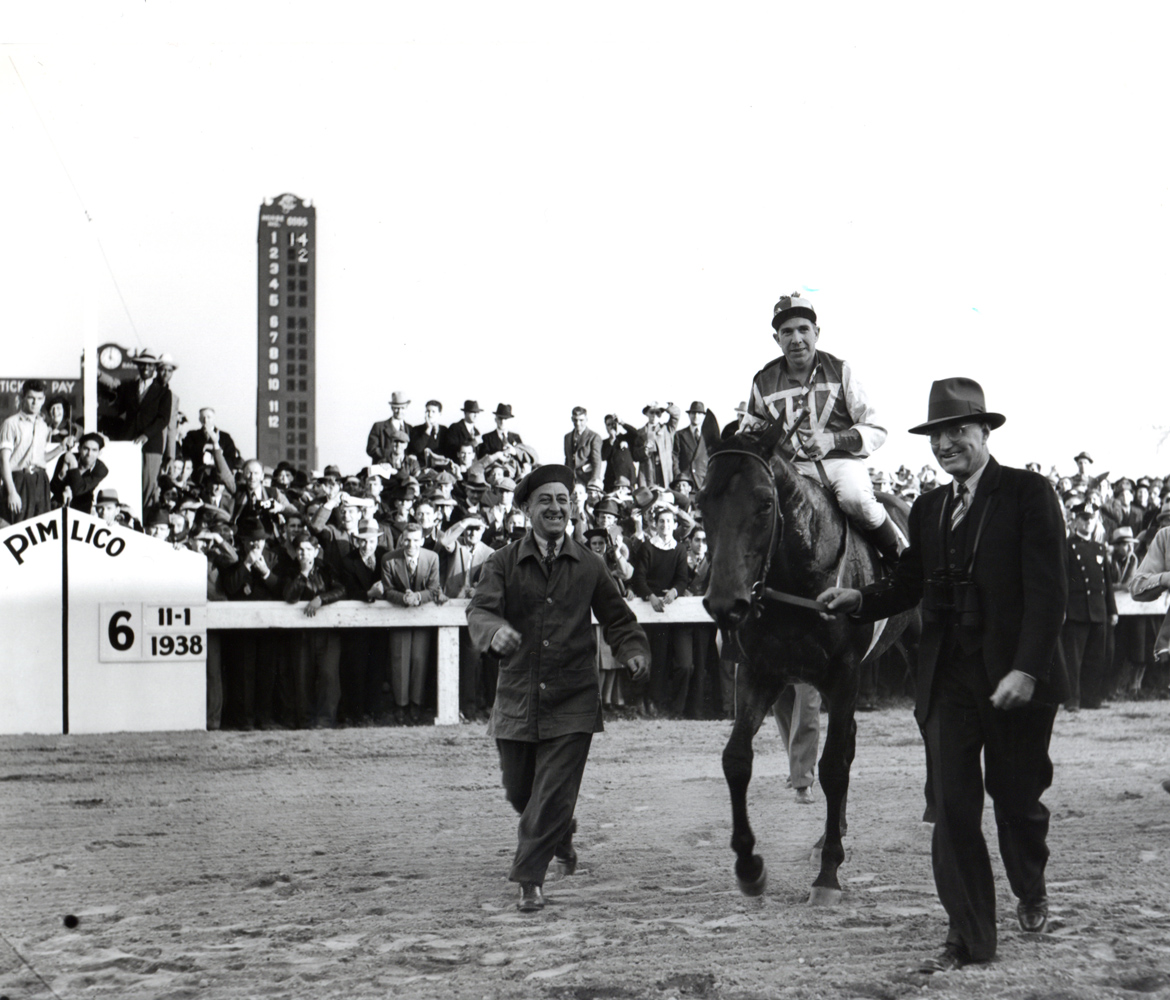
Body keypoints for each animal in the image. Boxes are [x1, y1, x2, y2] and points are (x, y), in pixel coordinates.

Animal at [697, 418, 917, 902]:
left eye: (764, 502)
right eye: (703, 501)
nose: (725, 604)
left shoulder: (844, 674)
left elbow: (833, 766)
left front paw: (828, 874)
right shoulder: (758, 673)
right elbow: (736, 759)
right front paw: (749, 865)